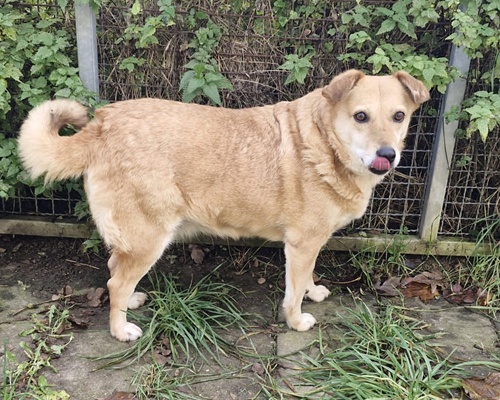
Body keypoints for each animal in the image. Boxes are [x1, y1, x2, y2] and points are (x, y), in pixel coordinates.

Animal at [18, 69, 430, 341]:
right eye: (361, 116)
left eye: (399, 116)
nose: (387, 155)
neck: (325, 144)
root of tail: (102, 124)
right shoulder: (301, 244)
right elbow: (293, 291)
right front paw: (296, 320)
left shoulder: (309, 245)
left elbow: (306, 278)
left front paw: (313, 291)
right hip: (150, 237)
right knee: (115, 281)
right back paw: (120, 330)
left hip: (135, 239)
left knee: (114, 269)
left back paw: (131, 301)